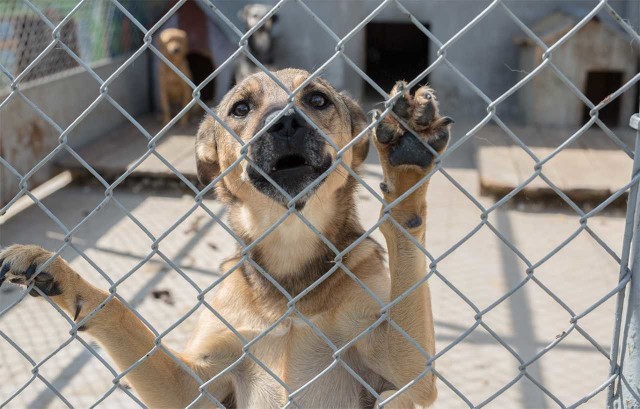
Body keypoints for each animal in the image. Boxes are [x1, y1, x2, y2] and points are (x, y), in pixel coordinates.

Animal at [0, 68, 452, 406]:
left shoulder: (406, 372)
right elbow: (122, 312)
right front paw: (60, 274)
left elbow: (403, 229)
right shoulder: (192, 384)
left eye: (317, 100)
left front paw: (406, 169)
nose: (286, 122)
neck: (289, 255)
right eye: (241, 108)